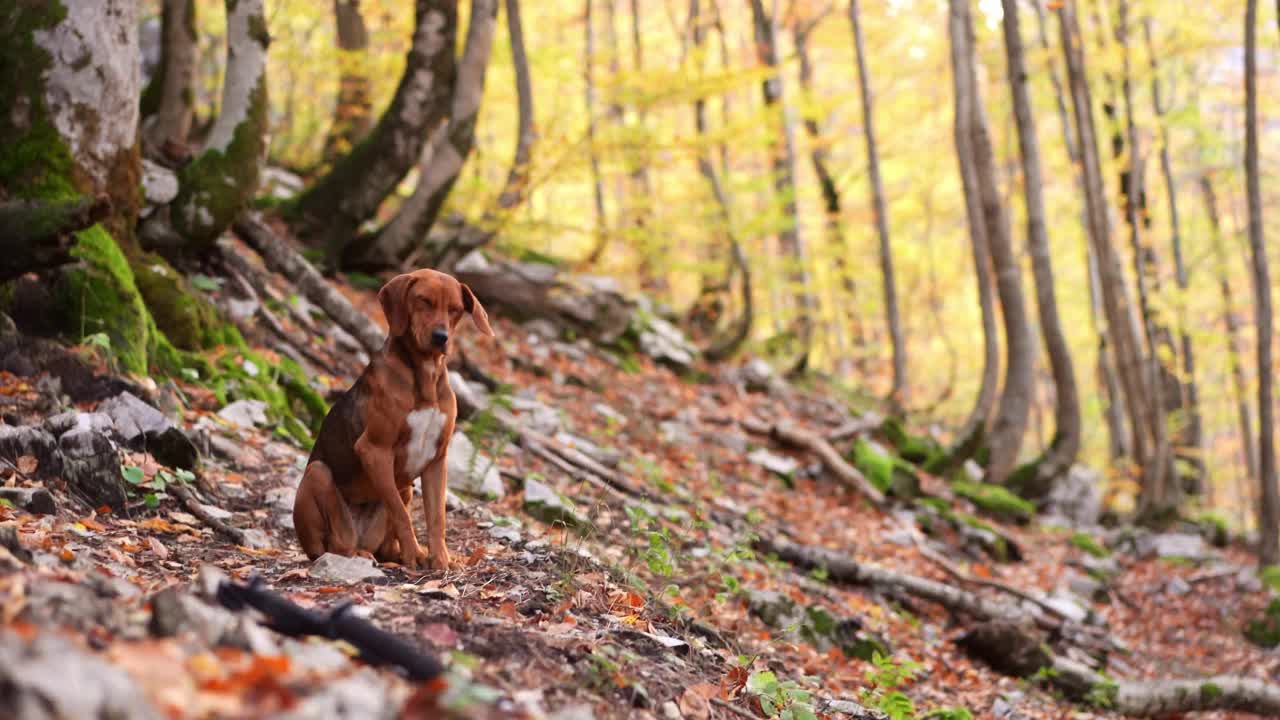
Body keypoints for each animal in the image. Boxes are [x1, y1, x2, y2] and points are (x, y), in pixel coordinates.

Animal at [294, 267, 494, 566]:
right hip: (318, 476)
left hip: (406, 489)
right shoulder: (374, 450)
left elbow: (437, 518)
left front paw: (440, 559)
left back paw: (396, 554)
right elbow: (401, 514)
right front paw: (413, 555)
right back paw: (363, 553)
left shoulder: (437, 460)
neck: (425, 375)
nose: (441, 337)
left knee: (383, 545)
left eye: (455, 309)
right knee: (335, 546)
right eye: (423, 301)